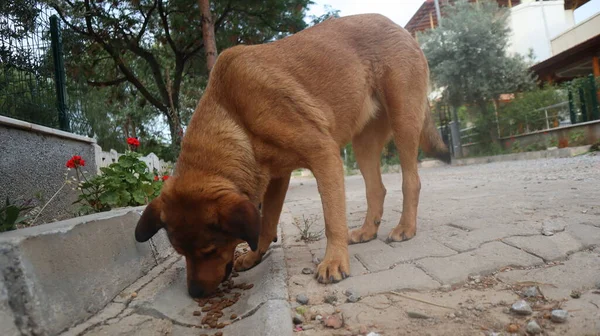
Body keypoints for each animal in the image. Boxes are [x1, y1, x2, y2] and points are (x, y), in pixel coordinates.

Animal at [132, 13, 450, 298]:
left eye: (209, 250)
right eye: (180, 252)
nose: (195, 294)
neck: (232, 114)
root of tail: (400, 28)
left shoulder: (324, 155)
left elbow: (332, 219)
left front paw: (334, 260)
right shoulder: (276, 178)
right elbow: (266, 222)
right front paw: (256, 255)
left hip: (404, 122)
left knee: (411, 180)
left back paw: (405, 227)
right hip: (364, 144)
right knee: (377, 188)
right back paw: (367, 231)